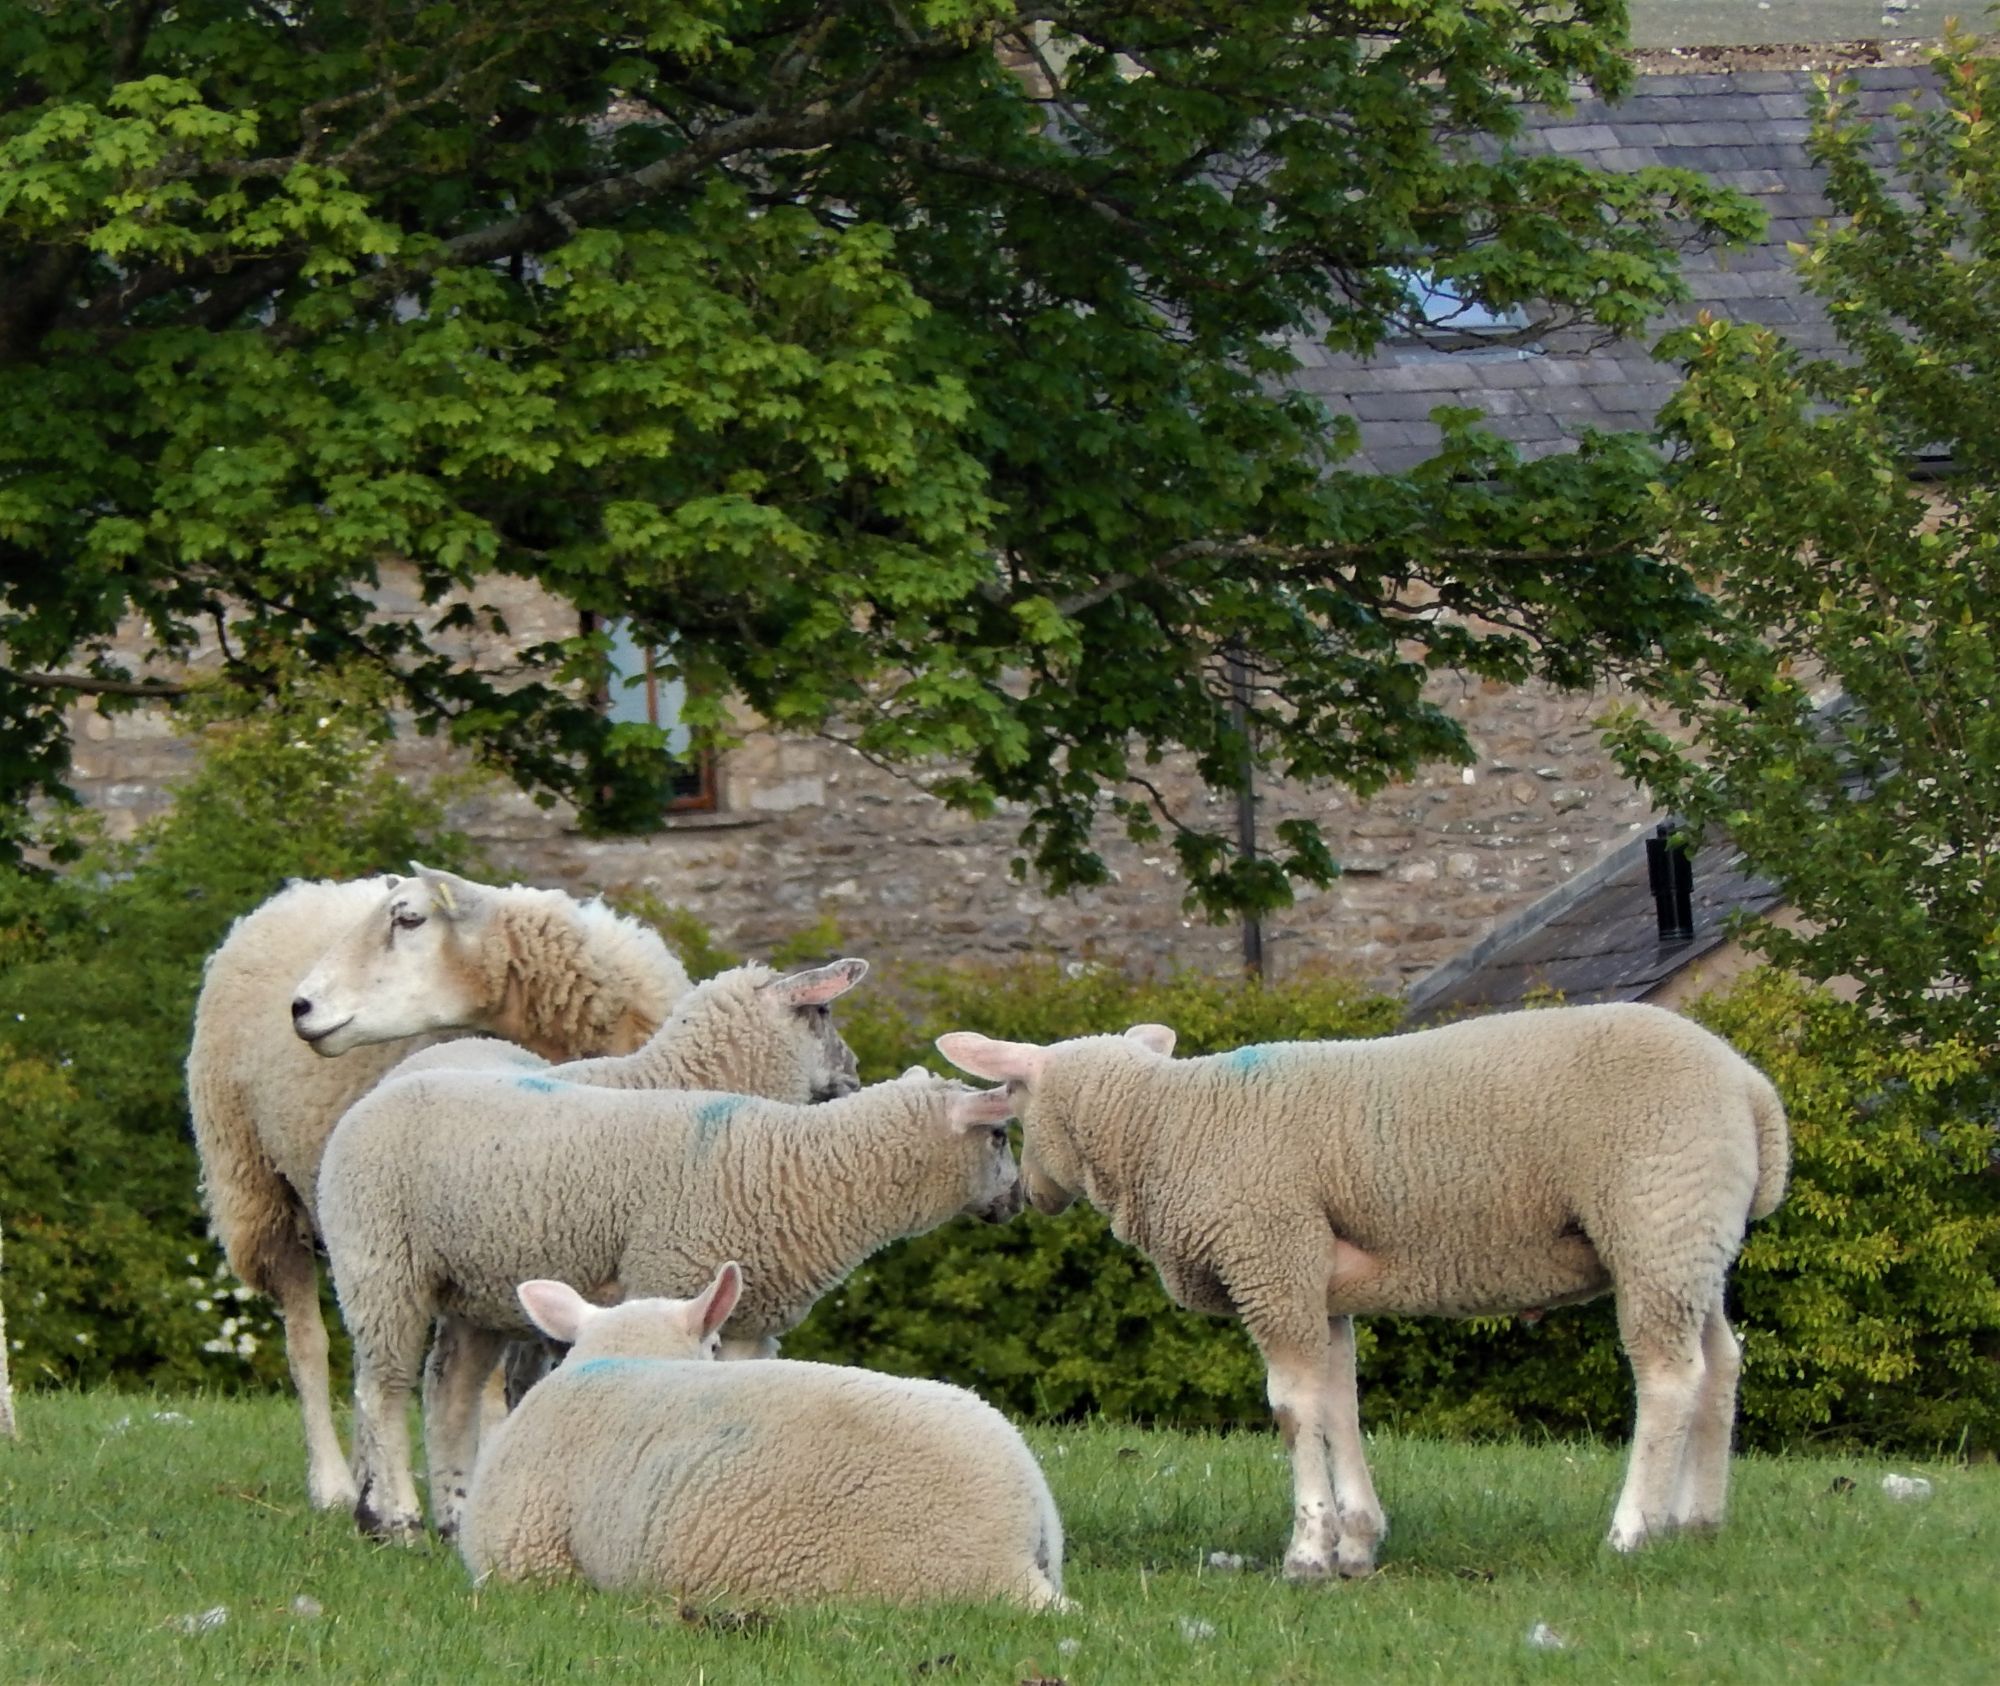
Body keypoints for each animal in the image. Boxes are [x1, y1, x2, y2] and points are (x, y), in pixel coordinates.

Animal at [188, 864, 688, 1512]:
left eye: (409, 919)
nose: (300, 1006)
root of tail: (299, 892)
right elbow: (490, 1380)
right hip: (261, 1187)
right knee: (310, 1345)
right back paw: (333, 1484)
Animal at [324, 1072, 1032, 1544]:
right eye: (999, 1136)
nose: (1021, 1201)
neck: (804, 1168)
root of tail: (366, 1102)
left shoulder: (751, 1321)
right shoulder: (668, 1273)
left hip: (474, 1289)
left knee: (449, 1395)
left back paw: (453, 1514)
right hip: (380, 1260)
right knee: (381, 1390)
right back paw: (399, 1517)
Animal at [936, 1004, 1800, 1584]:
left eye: (1010, 1095)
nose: (1025, 1199)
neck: (1162, 1127)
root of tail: (1753, 1091)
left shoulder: (1271, 1256)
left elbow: (1293, 1410)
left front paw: (1306, 1552)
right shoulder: (1317, 1281)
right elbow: (1338, 1402)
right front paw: (1356, 1541)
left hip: (1654, 1214)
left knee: (1668, 1377)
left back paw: (1632, 1533)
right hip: (1694, 1235)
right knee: (1721, 1364)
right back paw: (1698, 1522)